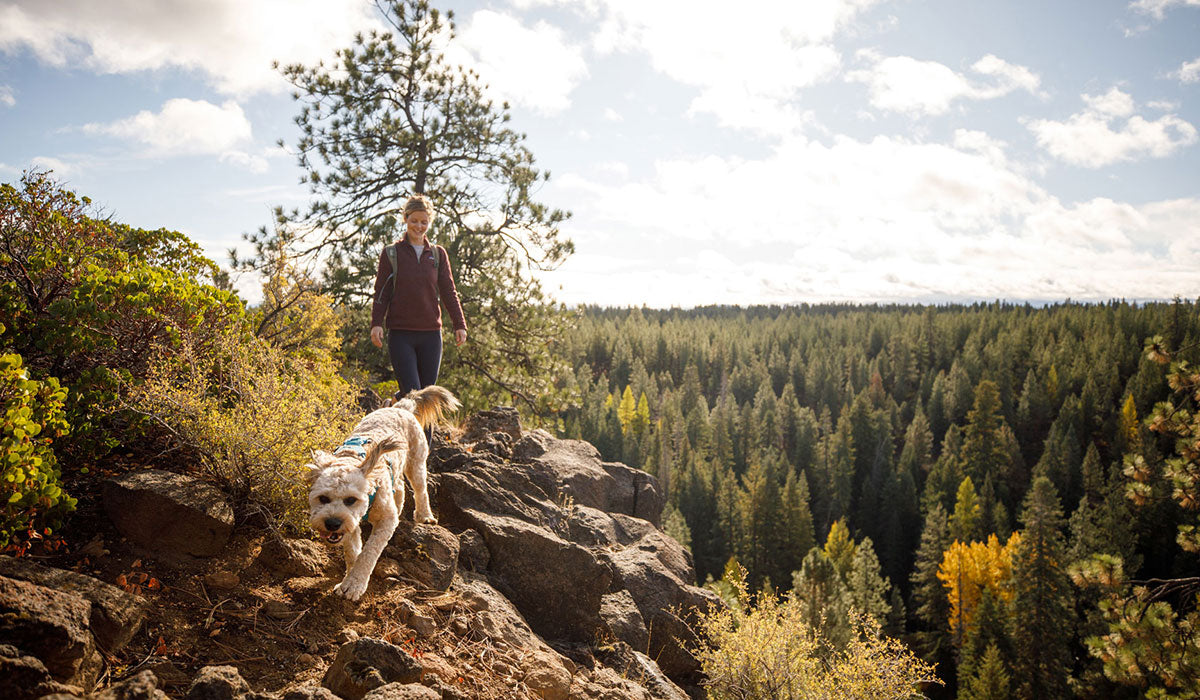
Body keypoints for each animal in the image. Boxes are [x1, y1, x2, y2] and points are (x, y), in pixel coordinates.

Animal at [304, 386, 458, 600]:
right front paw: (349, 578)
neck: (352, 459)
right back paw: (399, 505)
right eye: (323, 498)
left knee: (420, 490)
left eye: (351, 500)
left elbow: (368, 553)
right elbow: (352, 551)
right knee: (399, 486)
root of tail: (400, 407)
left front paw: (355, 584)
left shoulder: (384, 520)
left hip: (416, 462)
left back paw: (425, 515)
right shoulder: (351, 523)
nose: (332, 523)